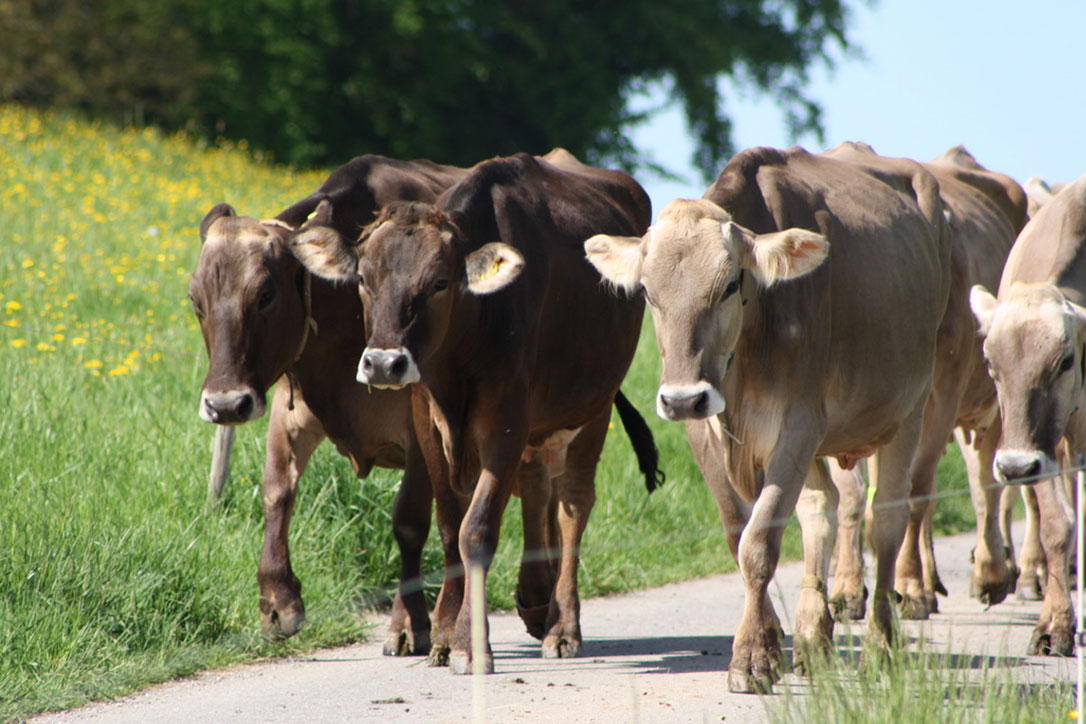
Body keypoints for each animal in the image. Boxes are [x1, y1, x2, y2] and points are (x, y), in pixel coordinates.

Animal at [187, 156, 466, 655]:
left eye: (266, 294)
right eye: (194, 299)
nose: (225, 404)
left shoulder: (418, 432)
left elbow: (409, 521)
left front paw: (407, 622)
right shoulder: (289, 410)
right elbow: (276, 492)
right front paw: (278, 600)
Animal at [288, 151, 651, 672]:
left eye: (440, 282)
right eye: (362, 279)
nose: (383, 363)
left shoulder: (506, 423)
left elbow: (476, 530)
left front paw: (466, 642)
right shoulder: (427, 421)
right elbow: (447, 526)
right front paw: (441, 632)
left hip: (593, 407)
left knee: (573, 507)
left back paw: (562, 625)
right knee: (538, 490)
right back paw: (535, 602)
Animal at [586, 144, 951, 694]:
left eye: (730, 284)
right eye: (647, 291)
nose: (682, 397)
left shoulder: (798, 426)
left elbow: (759, 542)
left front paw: (751, 658)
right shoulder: (704, 432)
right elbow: (741, 533)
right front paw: (771, 639)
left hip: (908, 409)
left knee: (886, 521)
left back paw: (880, 645)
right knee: (820, 510)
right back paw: (813, 638)